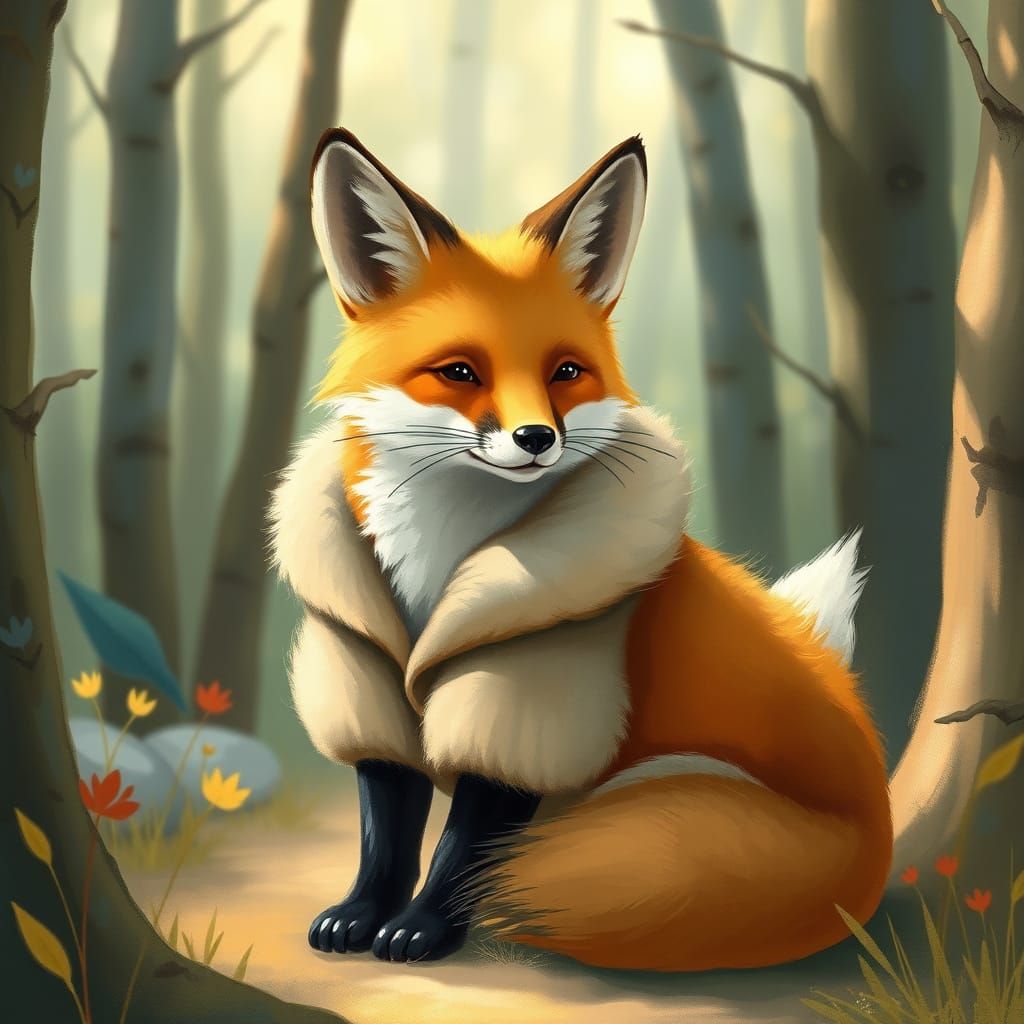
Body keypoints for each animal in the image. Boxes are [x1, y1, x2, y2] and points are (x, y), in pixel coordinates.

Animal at [270, 127, 893, 970]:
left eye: (566, 372)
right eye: (459, 371)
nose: (536, 438)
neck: (443, 568)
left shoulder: (530, 702)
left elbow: (463, 848)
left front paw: (424, 927)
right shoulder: (366, 683)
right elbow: (386, 834)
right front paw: (362, 914)